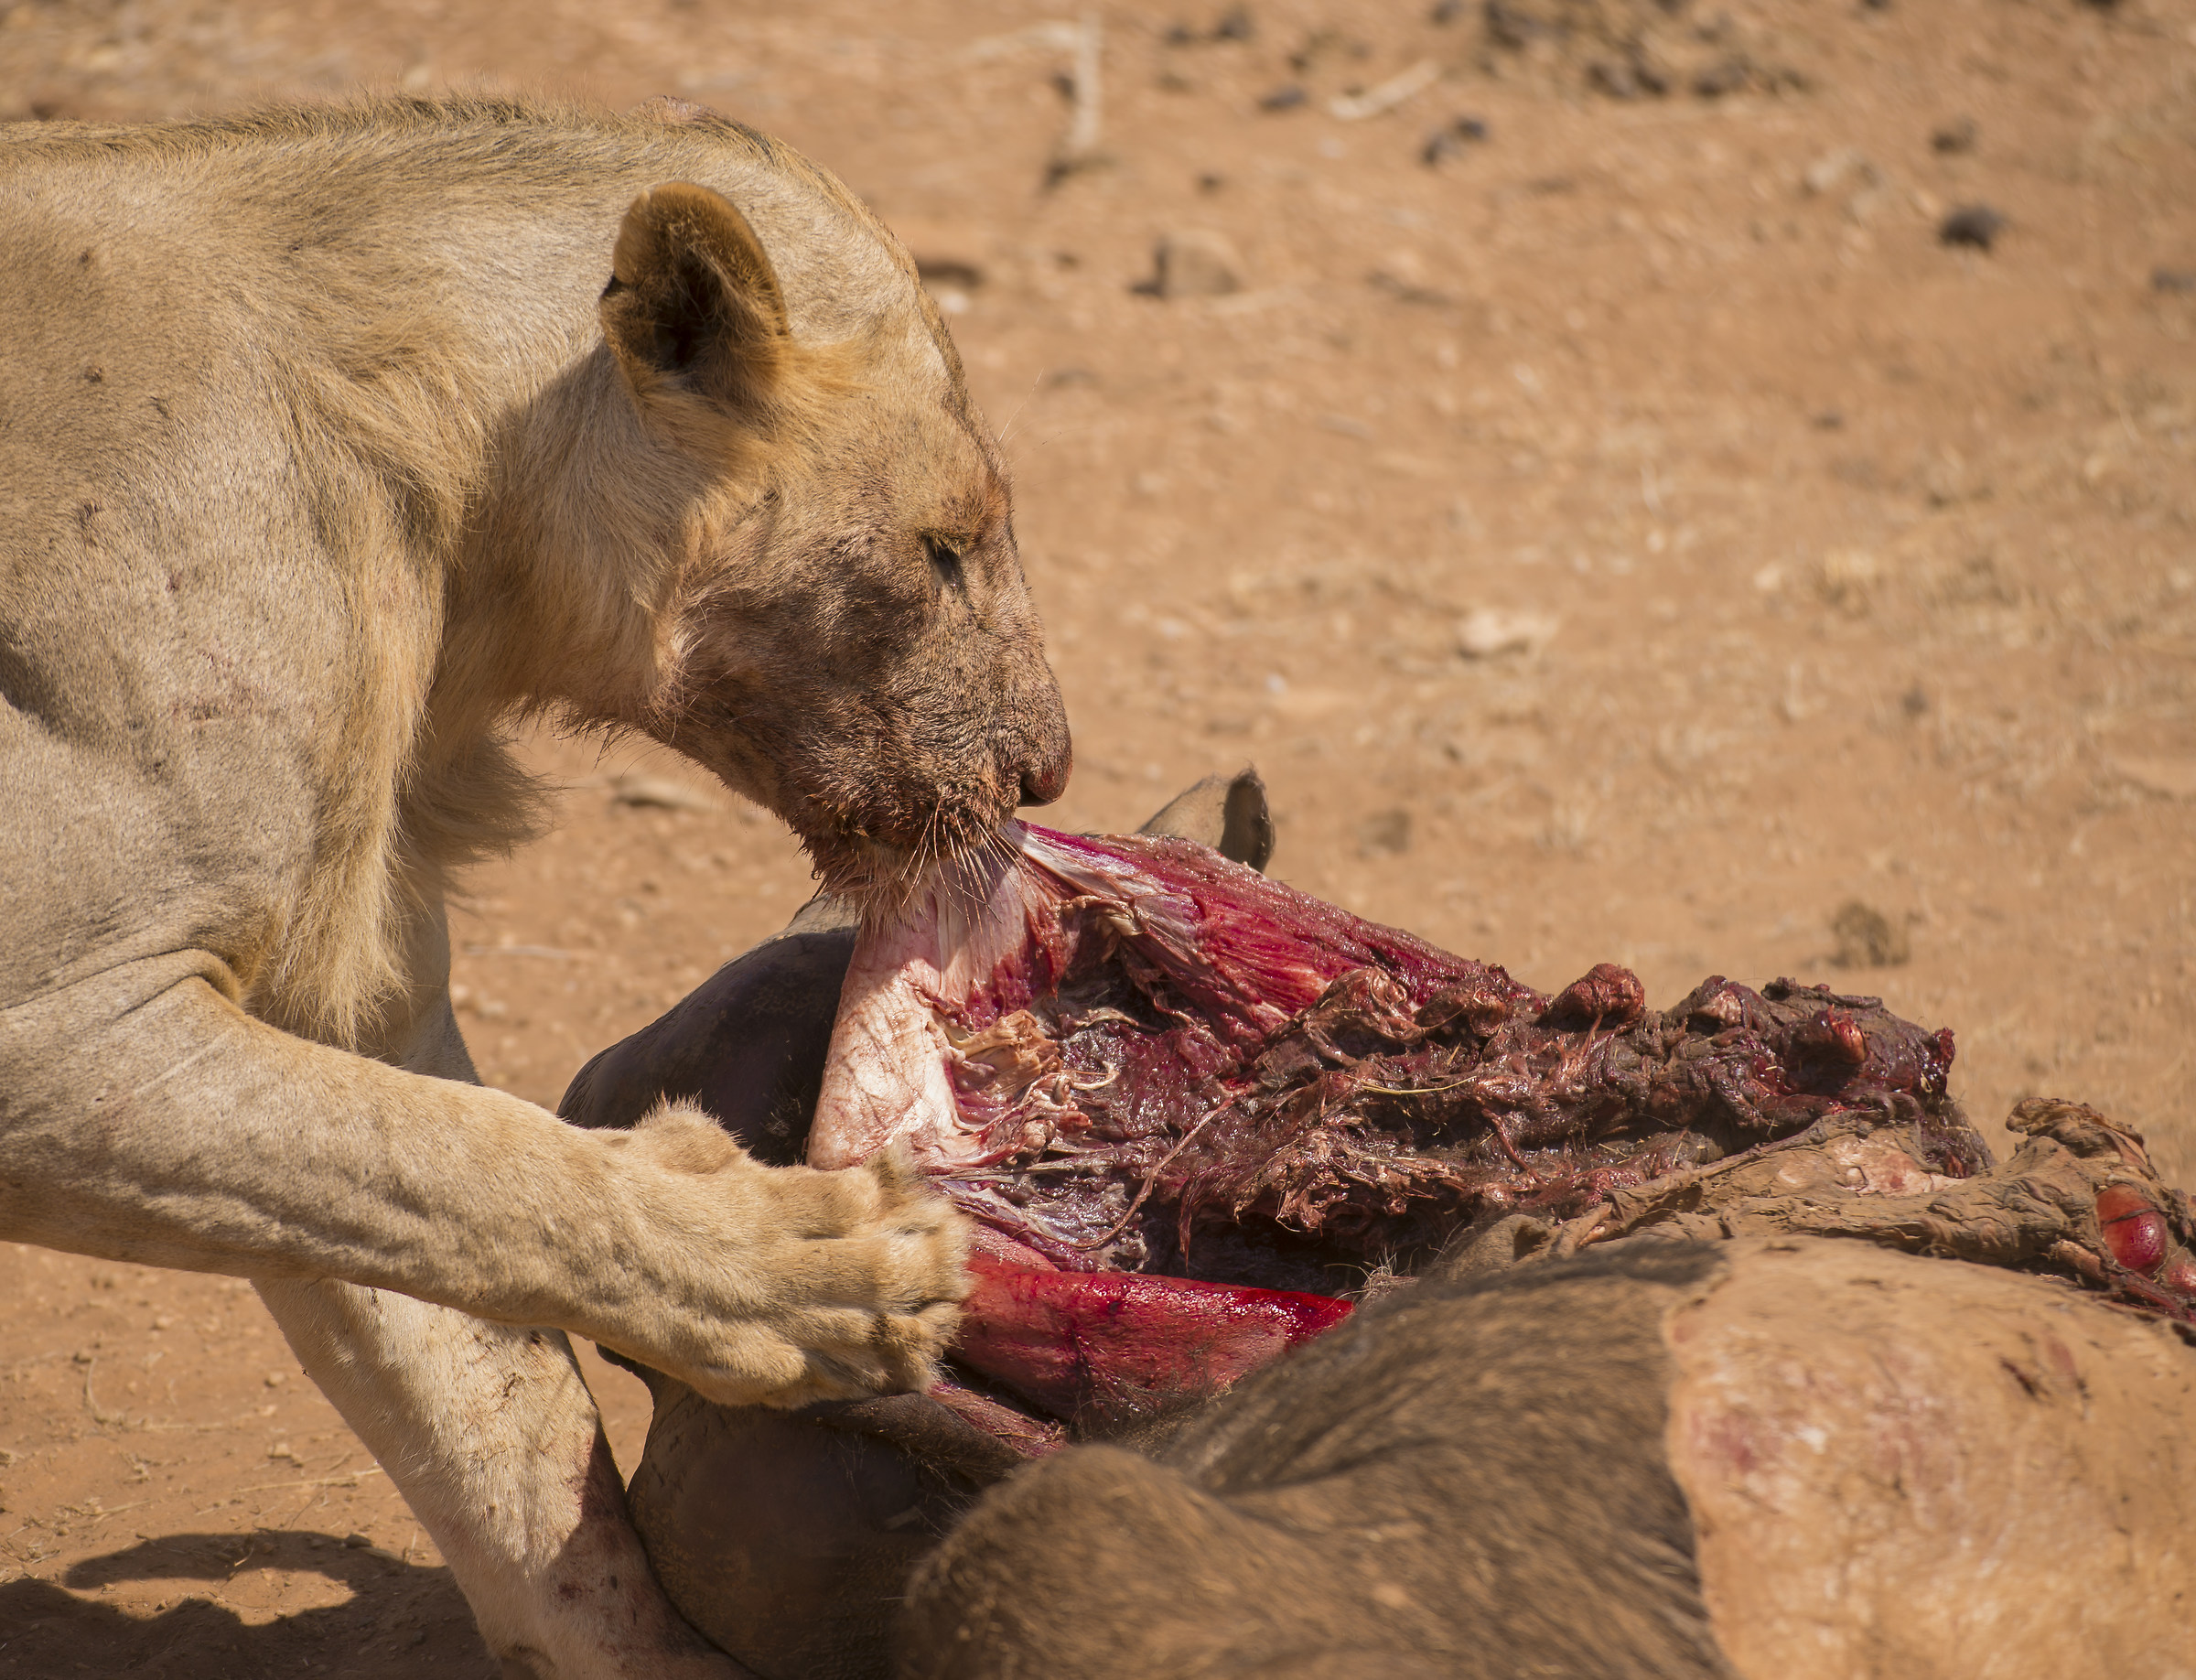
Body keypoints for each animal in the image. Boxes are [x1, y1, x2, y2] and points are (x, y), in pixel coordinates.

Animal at [0, 94, 1071, 1677]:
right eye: (943, 548)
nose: (1049, 768)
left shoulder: (334, 990)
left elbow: (475, 1344)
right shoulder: (58, 1011)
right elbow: (496, 1168)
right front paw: (825, 1274)